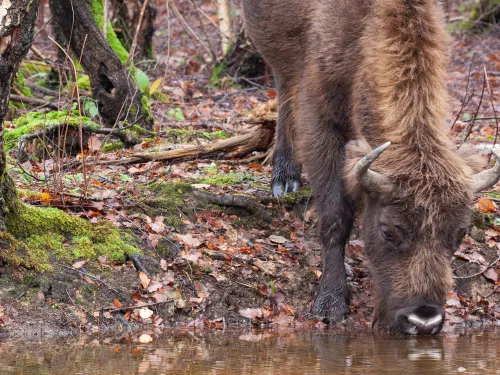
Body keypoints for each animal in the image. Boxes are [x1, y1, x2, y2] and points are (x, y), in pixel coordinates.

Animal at [244, 0, 500, 334]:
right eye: (388, 231)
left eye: (460, 233)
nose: (424, 320)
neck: (367, 30)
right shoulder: (322, 122)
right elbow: (335, 218)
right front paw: (330, 304)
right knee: (285, 87)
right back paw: (285, 179)